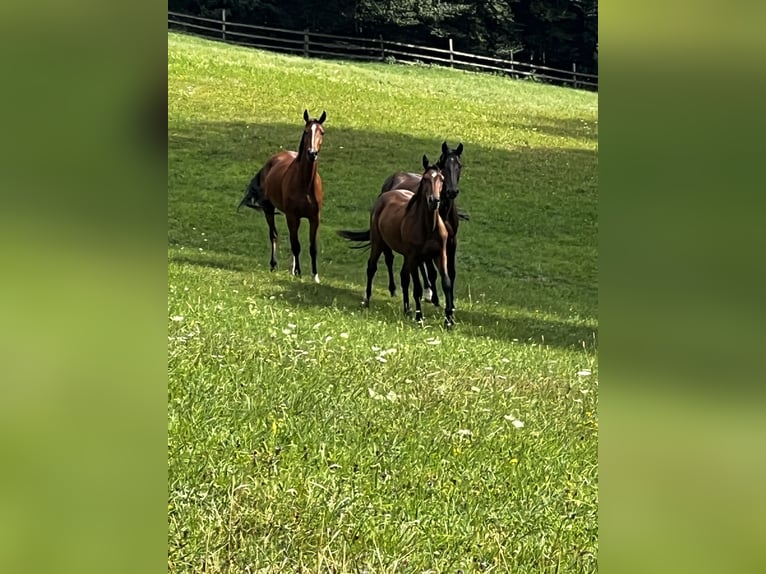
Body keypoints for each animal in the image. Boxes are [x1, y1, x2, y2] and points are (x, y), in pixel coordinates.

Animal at [237, 109, 328, 284]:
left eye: (322, 132)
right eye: (306, 131)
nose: (312, 153)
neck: (305, 184)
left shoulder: (314, 218)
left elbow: (312, 247)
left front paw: (315, 276)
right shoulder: (292, 216)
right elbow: (296, 245)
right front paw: (299, 273)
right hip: (269, 210)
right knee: (274, 235)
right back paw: (274, 265)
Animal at [338, 158, 456, 326]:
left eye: (441, 179)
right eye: (425, 179)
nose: (434, 201)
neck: (428, 227)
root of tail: (384, 195)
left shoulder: (440, 254)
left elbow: (446, 283)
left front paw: (449, 320)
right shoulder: (414, 257)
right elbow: (418, 288)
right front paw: (419, 318)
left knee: (403, 277)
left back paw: (407, 309)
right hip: (378, 243)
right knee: (372, 267)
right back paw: (367, 300)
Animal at [380, 142, 464, 312]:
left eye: (459, 165)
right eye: (444, 166)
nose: (452, 191)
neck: (443, 211)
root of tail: (393, 178)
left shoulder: (451, 241)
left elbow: (451, 272)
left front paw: (451, 305)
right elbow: (431, 272)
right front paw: (436, 299)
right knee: (393, 259)